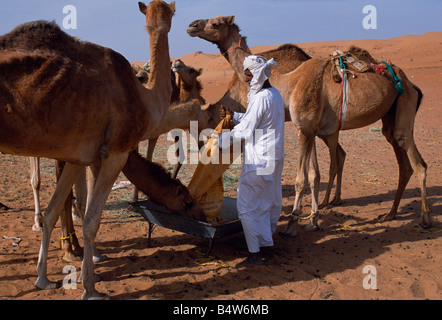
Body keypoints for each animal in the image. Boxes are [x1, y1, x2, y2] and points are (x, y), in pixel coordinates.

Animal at [0, 0, 203, 300]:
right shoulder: (114, 153)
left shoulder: (77, 157)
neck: (145, 97)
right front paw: (90, 287)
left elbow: (54, 210)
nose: (200, 215)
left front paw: (43, 279)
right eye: (186, 199)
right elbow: (91, 220)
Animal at [186, 15, 428, 230]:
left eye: (216, 23)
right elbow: (314, 175)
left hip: (404, 105)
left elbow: (302, 178)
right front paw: (313, 218)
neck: (287, 81)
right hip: (388, 118)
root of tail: (411, 84)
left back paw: (424, 219)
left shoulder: (304, 127)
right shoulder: (309, 128)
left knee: (418, 163)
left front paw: (294, 221)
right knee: (399, 162)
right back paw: (388, 213)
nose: (192, 25)